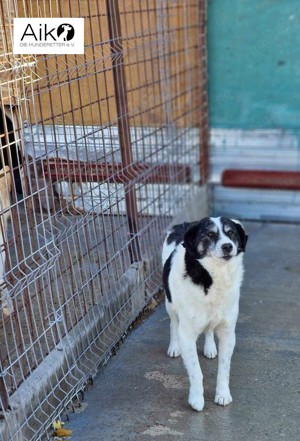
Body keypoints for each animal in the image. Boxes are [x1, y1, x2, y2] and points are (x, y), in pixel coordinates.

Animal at [163, 216, 247, 410]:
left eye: (231, 233)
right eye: (209, 234)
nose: (228, 246)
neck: (214, 276)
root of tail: (184, 225)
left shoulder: (227, 332)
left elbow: (224, 369)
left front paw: (222, 394)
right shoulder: (186, 335)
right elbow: (196, 371)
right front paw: (196, 398)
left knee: (209, 329)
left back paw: (210, 348)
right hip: (169, 303)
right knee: (173, 323)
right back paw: (174, 347)